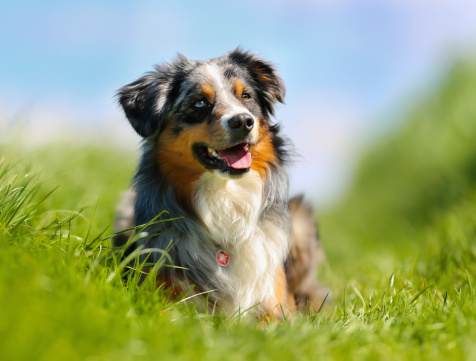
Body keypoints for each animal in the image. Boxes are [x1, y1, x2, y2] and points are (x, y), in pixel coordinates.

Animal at [113, 48, 328, 318]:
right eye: (199, 103)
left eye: (246, 96)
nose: (243, 121)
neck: (225, 196)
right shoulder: (164, 297)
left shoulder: (276, 302)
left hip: (301, 218)